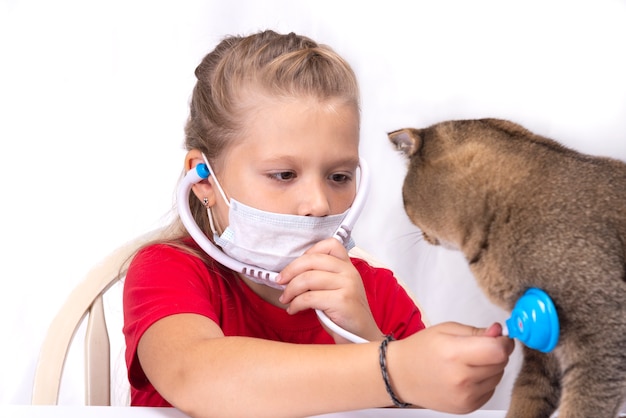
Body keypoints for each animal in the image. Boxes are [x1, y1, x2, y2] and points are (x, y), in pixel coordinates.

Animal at [388, 117, 620, 418]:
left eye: (404, 201)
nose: (423, 236)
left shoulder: (602, 334)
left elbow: (582, 406)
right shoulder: (545, 349)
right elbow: (528, 395)